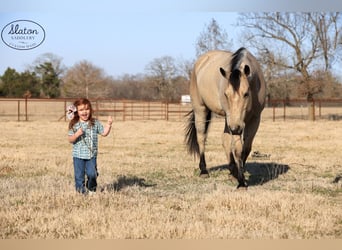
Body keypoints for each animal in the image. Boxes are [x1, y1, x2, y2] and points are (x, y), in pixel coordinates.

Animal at [186, 47, 266, 188]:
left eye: (246, 94)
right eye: (225, 94)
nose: (235, 129)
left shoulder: (254, 119)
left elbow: (246, 148)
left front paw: (239, 174)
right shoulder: (234, 123)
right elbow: (238, 149)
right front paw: (241, 182)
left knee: (225, 140)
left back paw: (231, 171)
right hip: (201, 110)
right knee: (201, 138)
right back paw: (204, 170)